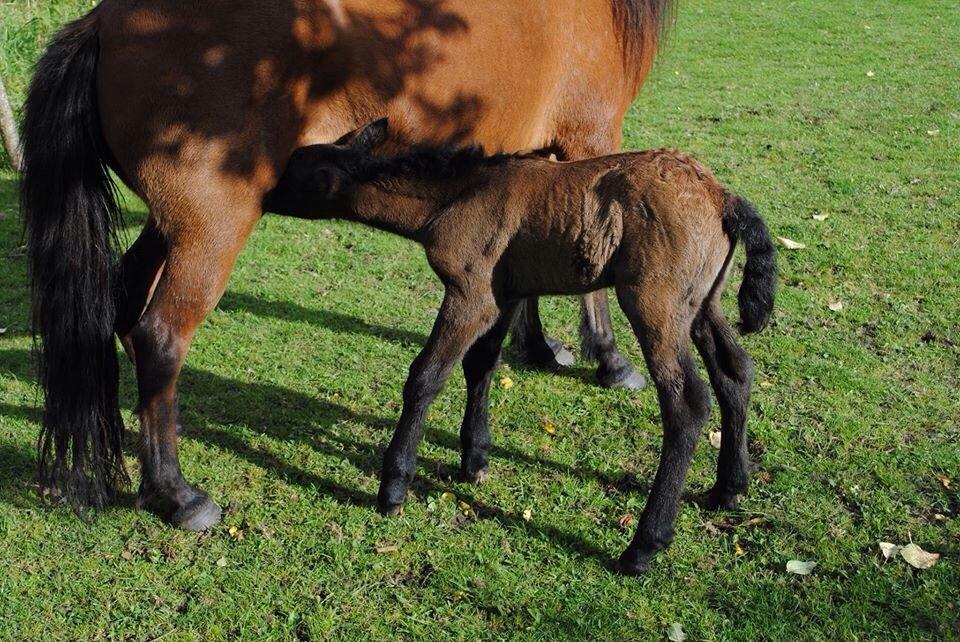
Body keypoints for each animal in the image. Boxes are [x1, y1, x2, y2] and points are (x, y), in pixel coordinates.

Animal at [266, 120, 776, 568]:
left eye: (292, 174)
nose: (263, 197)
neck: (455, 198)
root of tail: (722, 197)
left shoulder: (470, 292)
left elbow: (426, 376)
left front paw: (393, 487)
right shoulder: (504, 293)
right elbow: (481, 365)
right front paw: (475, 460)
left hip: (656, 304)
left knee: (687, 405)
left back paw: (643, 546)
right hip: (702, 302)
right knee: (735, 371)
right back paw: (728, 489)